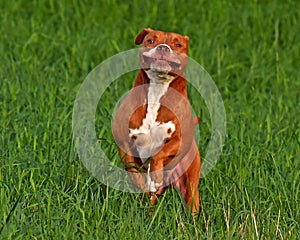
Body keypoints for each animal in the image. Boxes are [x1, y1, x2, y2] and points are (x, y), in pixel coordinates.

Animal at [112, 28, 202, 212]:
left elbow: (159, 154)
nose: (163, 47)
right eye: (151, 41)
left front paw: (155, 179)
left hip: (190, 186)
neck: (157, 90)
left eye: (177, 44)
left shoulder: (178, 140)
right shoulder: (125, 144)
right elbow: (134, 173)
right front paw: (143, 185)